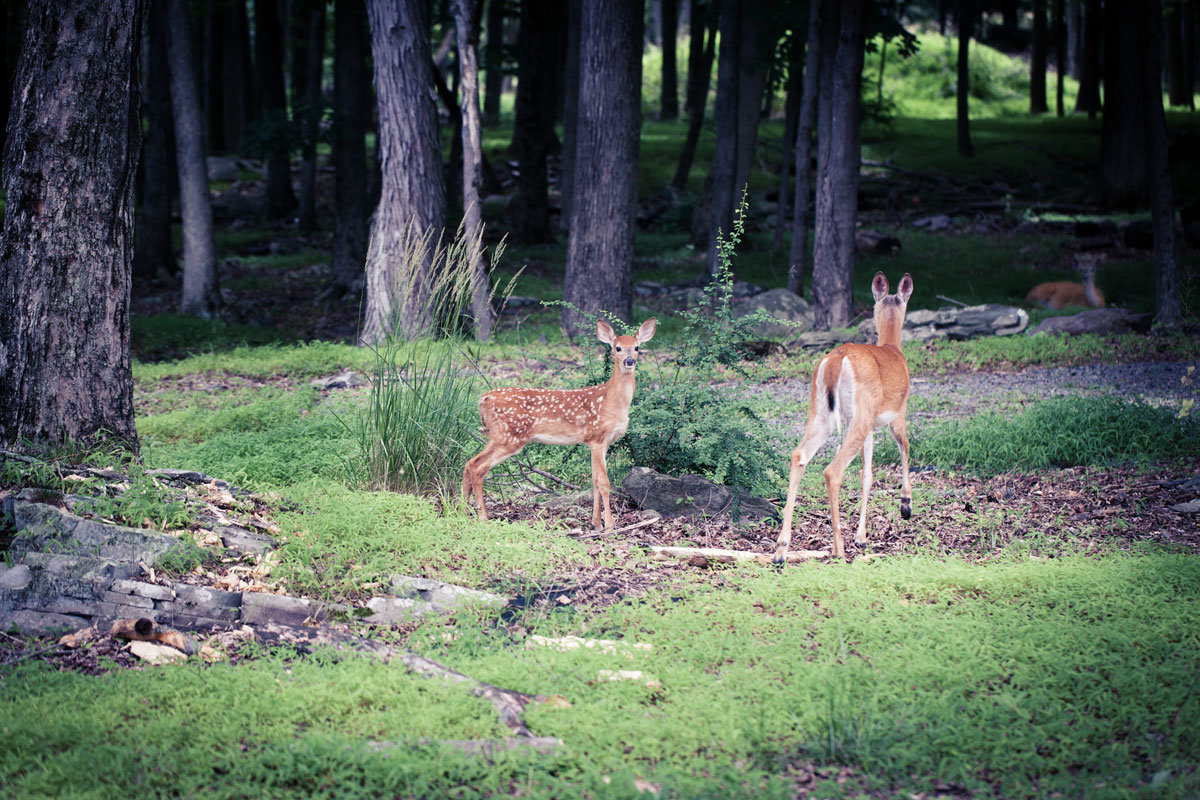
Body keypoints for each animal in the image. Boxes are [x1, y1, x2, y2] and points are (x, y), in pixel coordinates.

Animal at [463, 316, 662, 532]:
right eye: (617, 348)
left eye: (637, 347)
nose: (629, 361)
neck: (612, 401)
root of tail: (484, 398)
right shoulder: (597, 437)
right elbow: (604, 482)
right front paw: (609, 527)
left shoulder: (600, 443)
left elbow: (593, 481)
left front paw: (596, 523)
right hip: (509, 437)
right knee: (477, 467)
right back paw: (483, 518)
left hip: (498, 435)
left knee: (468, 463)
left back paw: (460, 511)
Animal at [772, 272, 912, 561]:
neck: (892, 348)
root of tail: (836, 360)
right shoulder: (898, 413)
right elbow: (904, 446)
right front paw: (906, 504)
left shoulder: (871, 427)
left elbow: (867, 477)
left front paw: (862, 538)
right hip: (860, 413)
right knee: (832, 471)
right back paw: (838, 548)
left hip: (821, 413)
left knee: (798, 455)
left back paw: (781, 549)